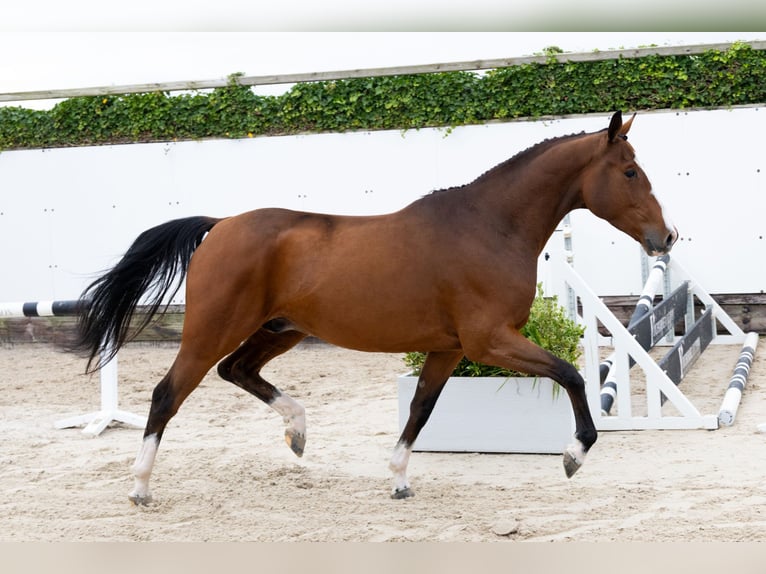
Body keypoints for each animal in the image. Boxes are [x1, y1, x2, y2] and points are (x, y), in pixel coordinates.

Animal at [71, 111, 677, 504]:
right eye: (629, 172)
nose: (666, 237)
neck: (489, 227)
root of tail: (220, 225)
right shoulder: (489, 341)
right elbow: (571, 374)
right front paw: (575, 454)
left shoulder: (449, 350)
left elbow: (421, 410)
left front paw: (399, 480)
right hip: (212, 328)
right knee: (168, 393)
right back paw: (141, 487)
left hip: (281, 328)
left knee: (236, 370)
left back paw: (298, 433)